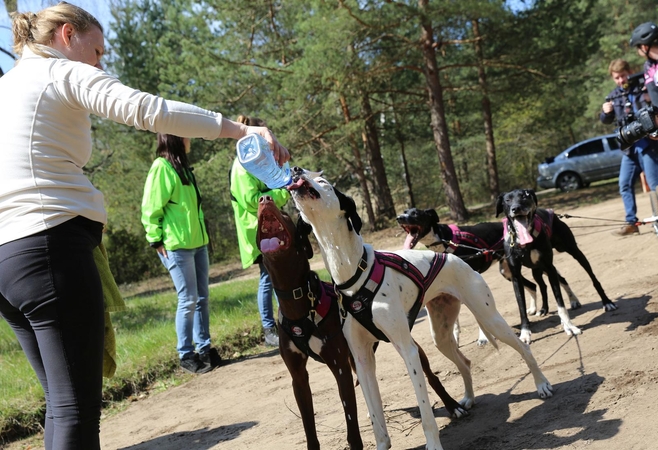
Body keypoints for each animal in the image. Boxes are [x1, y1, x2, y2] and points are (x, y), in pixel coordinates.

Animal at [286, 168, 548, 450]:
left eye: (322, 181)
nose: (295, 170)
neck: (355, 271)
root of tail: (455, 257)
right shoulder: (362, 360)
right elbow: (376, 420)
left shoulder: (408, 350)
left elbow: (425, 413)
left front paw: (433, 444)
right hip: (441, 337)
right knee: (465, 362)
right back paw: (468, 398)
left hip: (490, 319)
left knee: (524, 348)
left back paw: (542, 384)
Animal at [498, 188, 616, 342]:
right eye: (507, 200)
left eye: (525, 196)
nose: (516, 208)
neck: (525, 242)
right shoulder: (516, 277)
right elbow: (521, 307)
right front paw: (525, 333)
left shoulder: (549, 267)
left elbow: (560, 303)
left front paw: (569, 326)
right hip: (538, 270)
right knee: (543, 285)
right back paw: (547, 308)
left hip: (573, 254)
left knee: (592, 278)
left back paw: (604, 302)